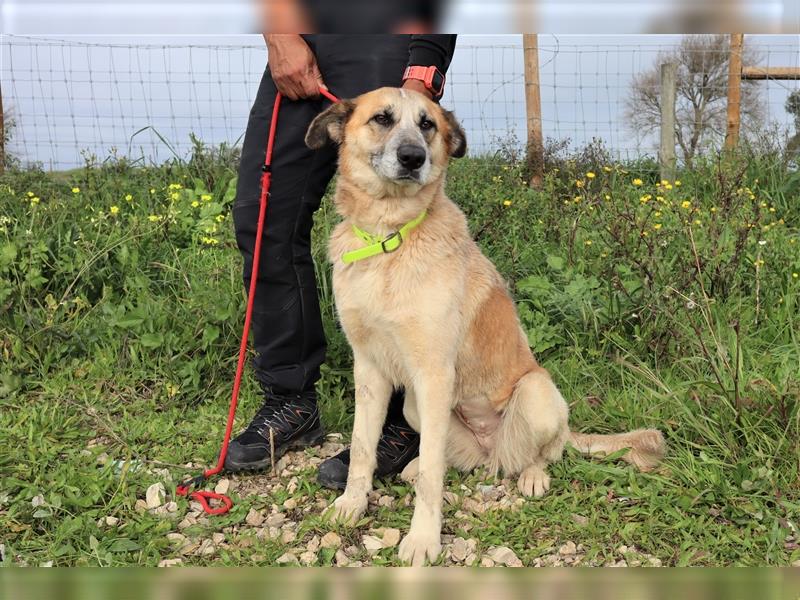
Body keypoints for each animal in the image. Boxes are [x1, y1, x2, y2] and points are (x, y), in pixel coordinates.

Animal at [304, 86, 664, 564]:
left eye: (427, 124)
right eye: (382, 118)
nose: (413, 158)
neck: (389, 239)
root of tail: (493, 450)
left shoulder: (434, 374)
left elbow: (432, 478)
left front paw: (423, 540)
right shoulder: (371, 369)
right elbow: (364, 448)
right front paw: (351, 503)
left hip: (535, 393)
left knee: (540, 453)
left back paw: (532, 476)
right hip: (415, 406)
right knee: (454, 458)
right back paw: (420, 465)